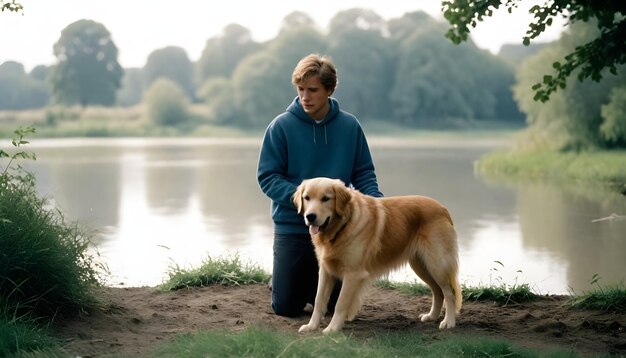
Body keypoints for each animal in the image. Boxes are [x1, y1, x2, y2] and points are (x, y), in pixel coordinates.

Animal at [292, 178, 458, 334]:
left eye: (326, 198)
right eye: (307, 198)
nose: (310, 216)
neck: (343, 226)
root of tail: (443, 208)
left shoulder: (353, 274)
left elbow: (340, 303)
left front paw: (332, 328)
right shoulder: (326, 271)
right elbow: (319, 300)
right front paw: (311, 326)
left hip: (436, 264)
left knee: (449, 293)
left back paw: (448, 322)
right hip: (421, 266)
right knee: (438, 291)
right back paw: (432, 316)